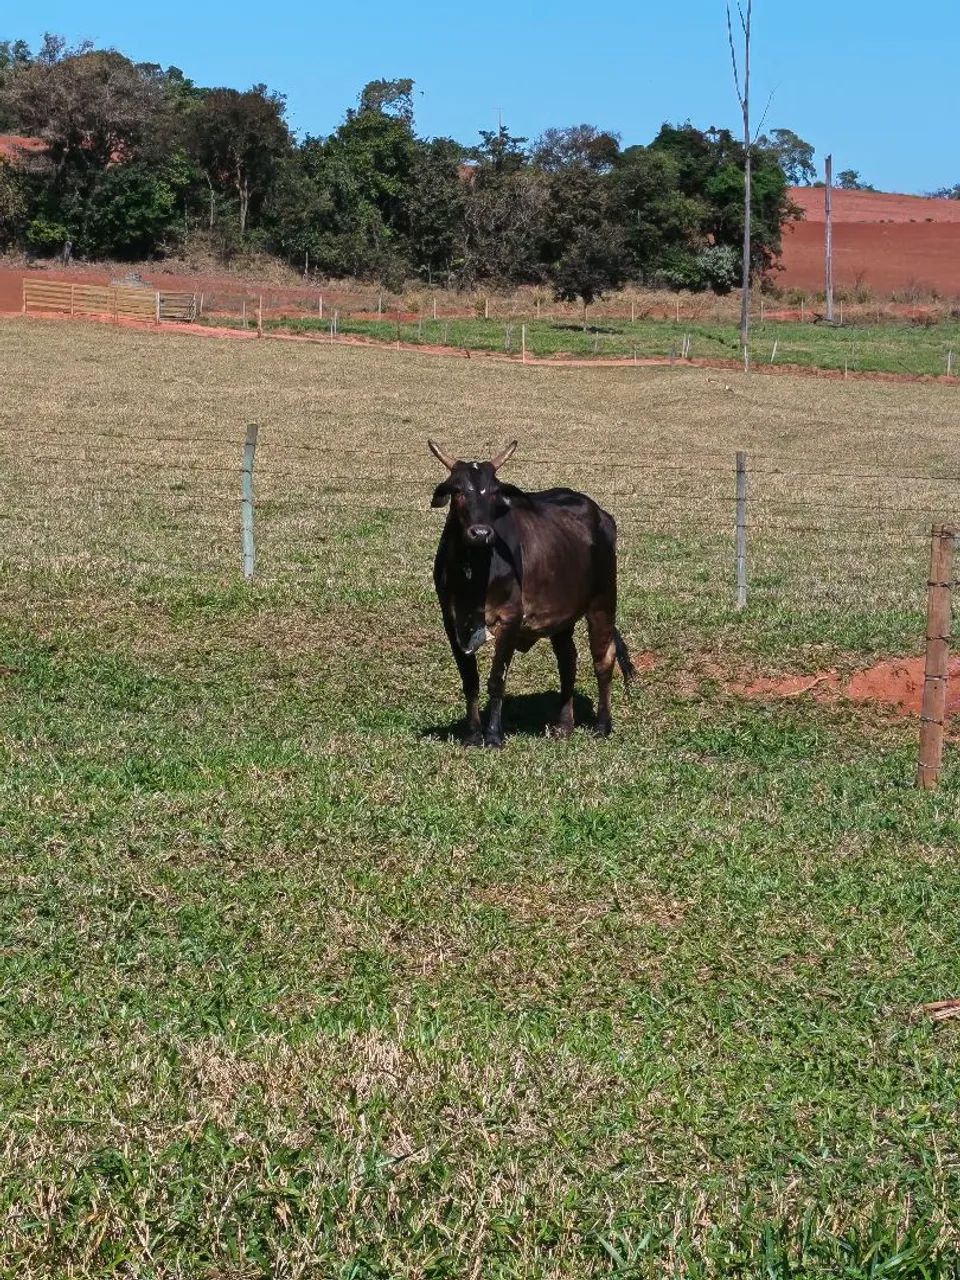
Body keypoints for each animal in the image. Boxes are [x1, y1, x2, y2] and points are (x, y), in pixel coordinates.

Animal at [428, 438, 636, 747]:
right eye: (458, 490)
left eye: (494, 492)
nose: (481, 533)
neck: (473, 572)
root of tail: (601, 514)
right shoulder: (452, 621)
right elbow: (470, 680)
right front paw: (473, 735)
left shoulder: (510, 618)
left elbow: (496, 679)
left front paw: (494, 735)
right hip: (563, 616)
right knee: (568, 660)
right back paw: (564, 725)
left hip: (603, 601)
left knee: (603, 659)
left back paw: (602, 725)